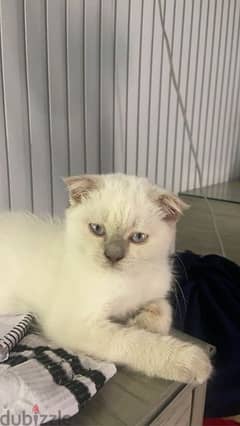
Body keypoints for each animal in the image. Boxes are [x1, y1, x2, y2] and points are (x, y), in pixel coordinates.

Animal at [0, 173, 212, 382]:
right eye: (97, 229)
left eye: (138, 237)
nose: (113, 256)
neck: (126, 280)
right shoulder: (74, 323)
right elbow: (132, 339)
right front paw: (192, 362)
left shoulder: (157, 290)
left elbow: (164, 308)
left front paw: (142, 322)